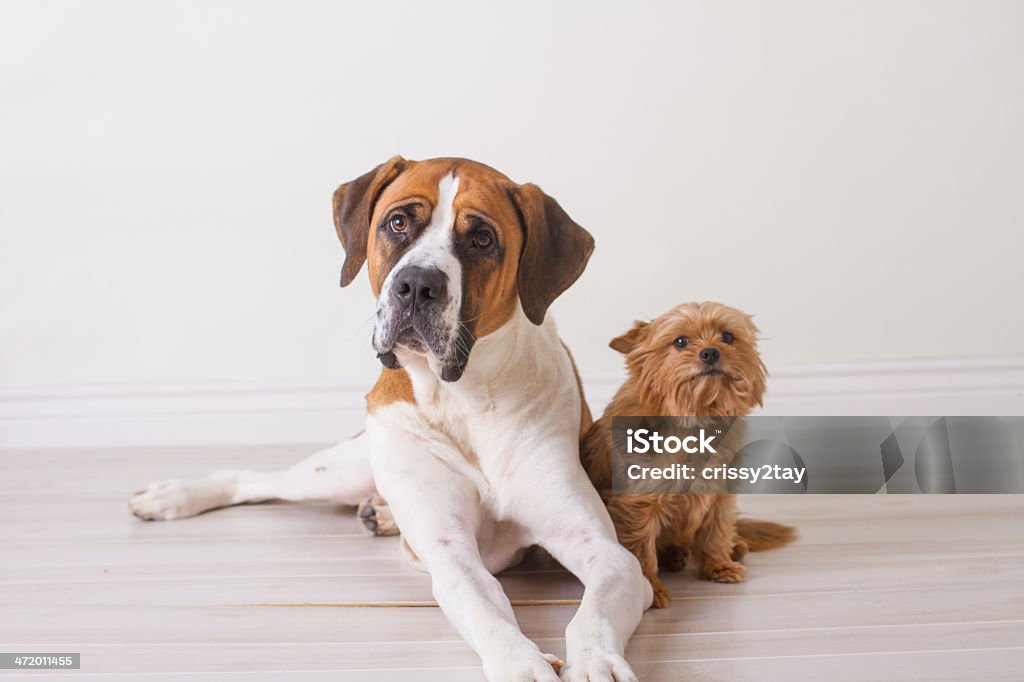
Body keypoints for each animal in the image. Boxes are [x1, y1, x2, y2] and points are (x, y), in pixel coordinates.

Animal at [128, 156, 651, 679]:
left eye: (482, 239)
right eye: (398, 223)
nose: (417, 284)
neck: (463, 399)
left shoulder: (607, 554)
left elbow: (594, 609)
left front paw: (596, 662)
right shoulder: (451, 553)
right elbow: (484, 606)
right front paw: (521, 665)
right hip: (338, 471)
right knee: (255, 479)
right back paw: (174, 495)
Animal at [585, 301, 790, 606]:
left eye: (727, 336)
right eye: (680, 341)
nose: (710, 352)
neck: (696, 419)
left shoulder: (720, 494)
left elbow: (715, 532)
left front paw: (718, 565)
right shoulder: (637, 504)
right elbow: (641, 548)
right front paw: (650, 589)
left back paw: (732, 547)